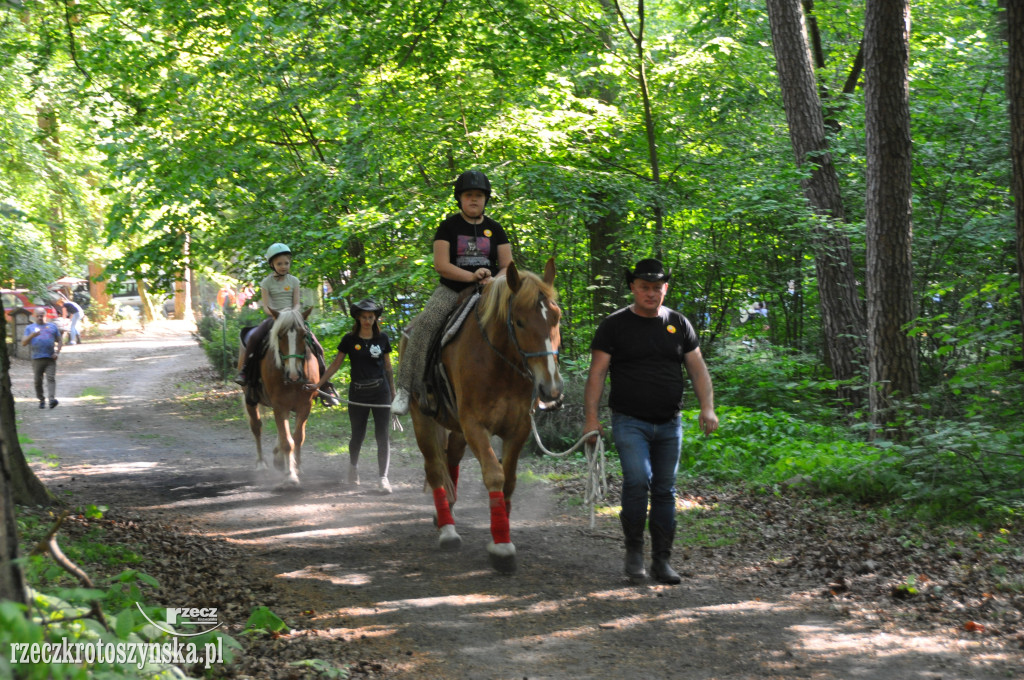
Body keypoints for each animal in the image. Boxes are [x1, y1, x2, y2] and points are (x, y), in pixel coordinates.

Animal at [244, 307, 319, 489]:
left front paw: (297, 467)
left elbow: (297, 438)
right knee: (256, 427)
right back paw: (261, 464)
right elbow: (287, 442)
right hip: (251, 401)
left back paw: (278, 458)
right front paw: (290, 476)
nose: (293, 374)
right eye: (279, 335)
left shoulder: (304, 406)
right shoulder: (280, 406)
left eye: (303, 335)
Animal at [401, 260, 565, 573]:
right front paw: (501, 547)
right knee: (435, 468)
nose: (550, 388)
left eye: (556, 317)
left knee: (450, 461)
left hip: (456, 429)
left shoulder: (518, 429)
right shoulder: (475, 426)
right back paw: (447, 530)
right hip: (423, 419)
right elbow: (494, 475)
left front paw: (502, 533)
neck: (500, 363)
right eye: (519, 322)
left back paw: (446, 512)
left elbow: (510, 479)